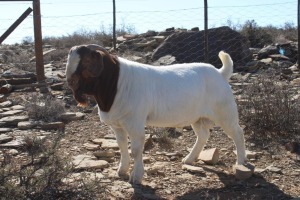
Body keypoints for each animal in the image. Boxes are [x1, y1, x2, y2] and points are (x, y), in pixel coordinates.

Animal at [67, 44, 247, 185]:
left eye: (86, 61)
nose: (70, 81)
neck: (116, 84)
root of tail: (220, 73)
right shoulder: (117, 126)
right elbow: (122, 147)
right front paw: (121, 171)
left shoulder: (135, 124)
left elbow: (136, 150)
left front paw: (136, 177)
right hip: (197, 117)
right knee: (203, 135)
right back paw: (189, 159)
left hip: (225, 112)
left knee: (238, 134)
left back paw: (240, 163)